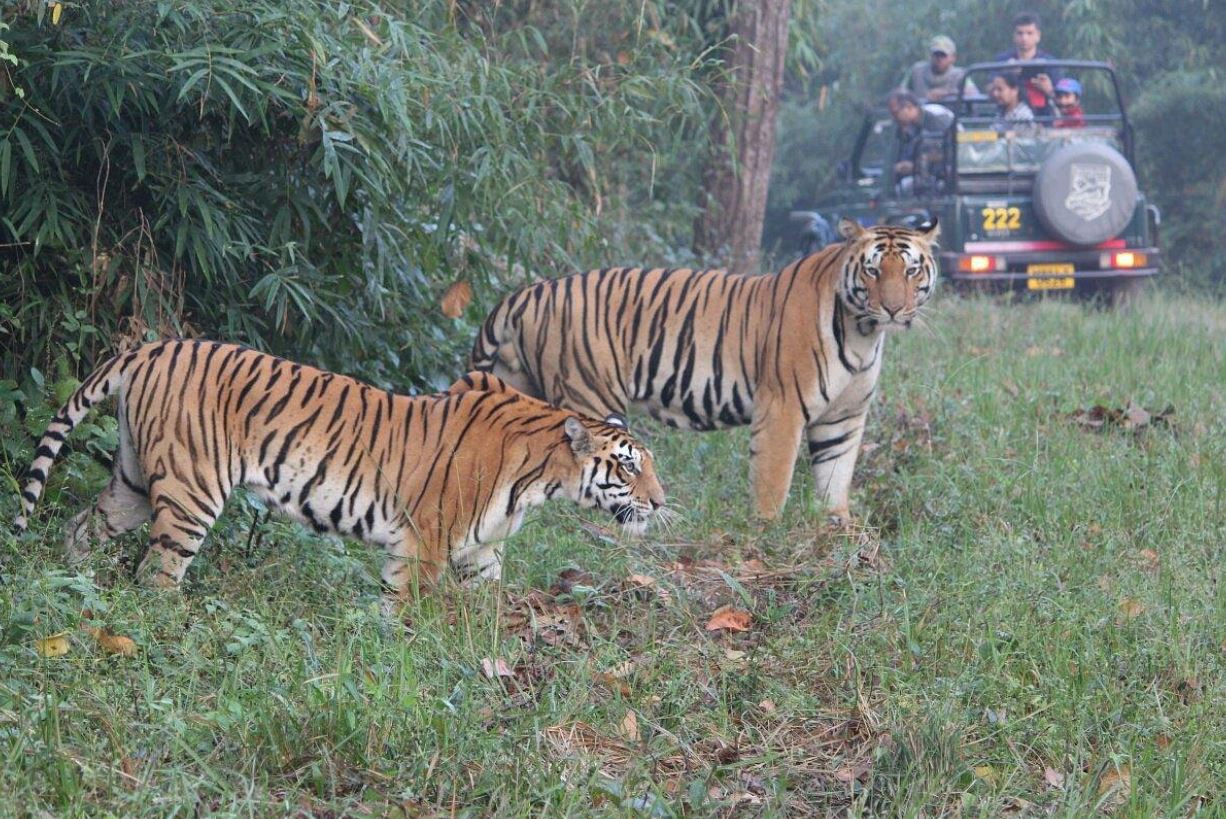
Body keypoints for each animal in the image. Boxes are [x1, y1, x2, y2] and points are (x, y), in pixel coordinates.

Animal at [13, 341, 665, 608]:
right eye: (628, 466)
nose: (660, 504)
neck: (542, 480)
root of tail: (149, 347)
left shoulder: (482, 553)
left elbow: (483, 613)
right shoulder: (424, 543)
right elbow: (400, 611)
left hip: (133, 483)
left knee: (81, 530)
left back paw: (70, 580)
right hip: (191, 491)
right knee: (157, 574)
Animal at [471, 218, 939, 522]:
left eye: (911, 269)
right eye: (873, 269)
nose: (894, 308)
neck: (864, 331)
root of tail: (526, 293)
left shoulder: (844, 416)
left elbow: (835, 478)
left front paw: (838, 532)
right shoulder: (782, 406)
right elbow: (774, 479)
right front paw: (765, 534)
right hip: (589, 394)